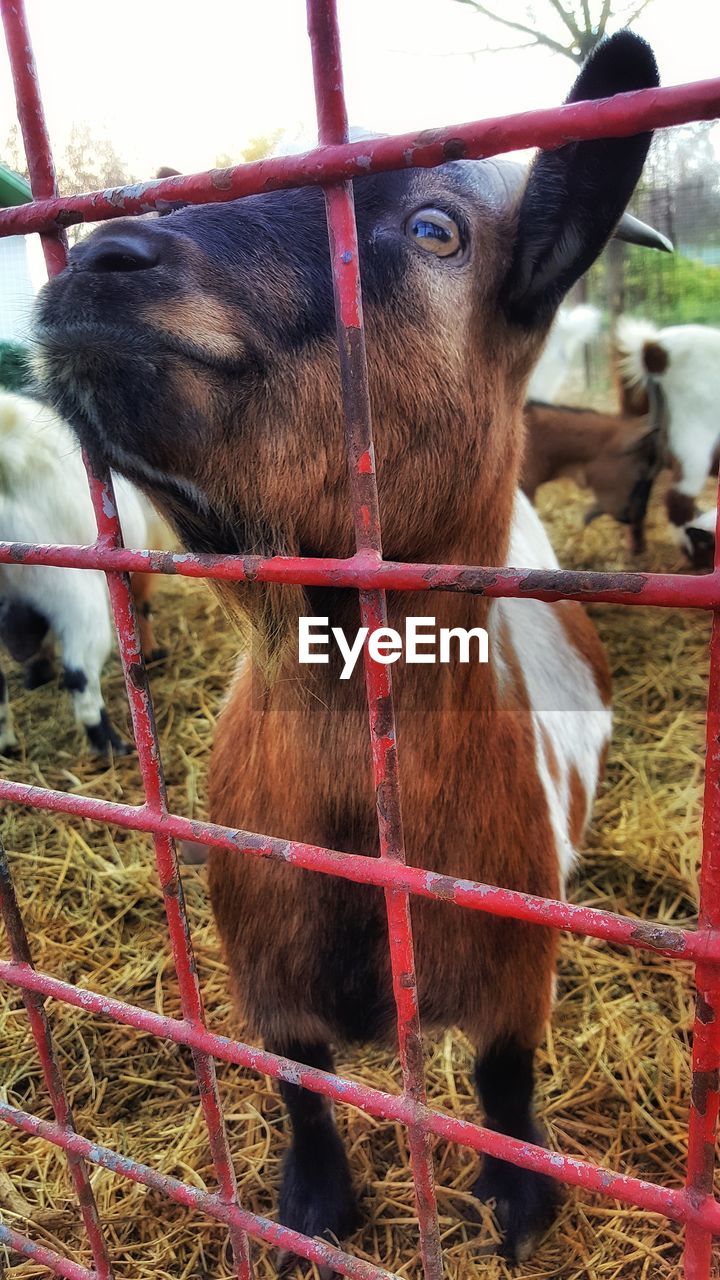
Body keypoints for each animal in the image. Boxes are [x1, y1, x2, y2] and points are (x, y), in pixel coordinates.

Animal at [0, 389, 172, 747]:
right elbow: (141, 608)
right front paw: (153, 652)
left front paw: (38, 673)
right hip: (71, 591)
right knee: (79, 673)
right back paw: (110, 743)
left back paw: (8, 744)